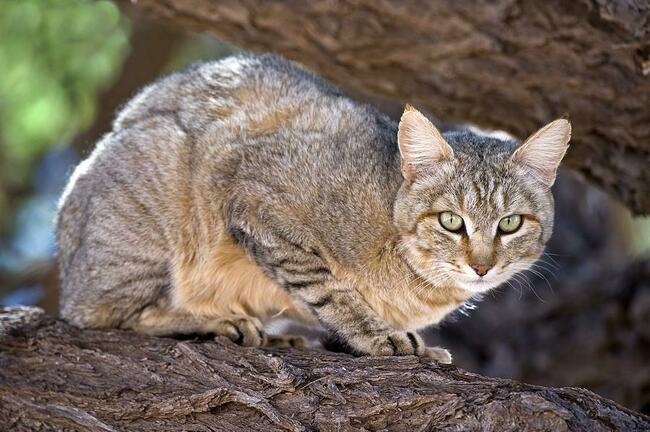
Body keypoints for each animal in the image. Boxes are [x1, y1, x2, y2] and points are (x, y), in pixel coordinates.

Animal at [58, 54, 568, 364]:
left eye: (510, 224)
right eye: (450, 221)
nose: (482, 266)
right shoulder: (252, 197)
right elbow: (328, 287)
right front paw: (379, 336)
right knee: (109, 313)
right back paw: (213, 321)